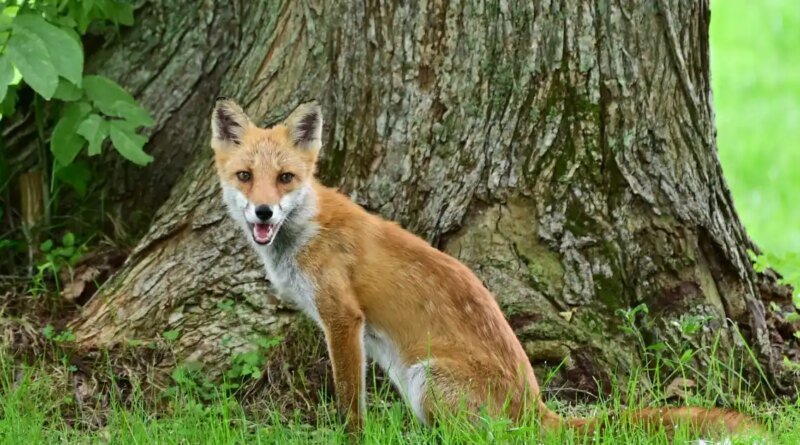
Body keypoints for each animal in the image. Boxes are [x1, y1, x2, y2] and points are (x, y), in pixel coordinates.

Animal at [210, 98, 762, 438]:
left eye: (285, 178)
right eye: (246, 176)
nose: (263, 213)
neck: (305, 229)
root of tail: (536, 408)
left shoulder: (343, 319)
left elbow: (351, 409)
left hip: (425, 377)